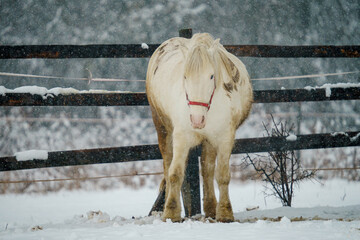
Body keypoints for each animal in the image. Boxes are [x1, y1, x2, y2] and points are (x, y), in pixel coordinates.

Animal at [146, 32, 253, 222]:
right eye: (185, 77)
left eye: (211, 76)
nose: (196, 120)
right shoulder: (181, 137)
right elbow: (175, 173)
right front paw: (171, 212)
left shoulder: (225, 138)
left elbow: (222, 175)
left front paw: (225, 212)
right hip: (163, 129)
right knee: (167, 166)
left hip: (209, 141)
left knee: (207, 170)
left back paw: (210, 208)